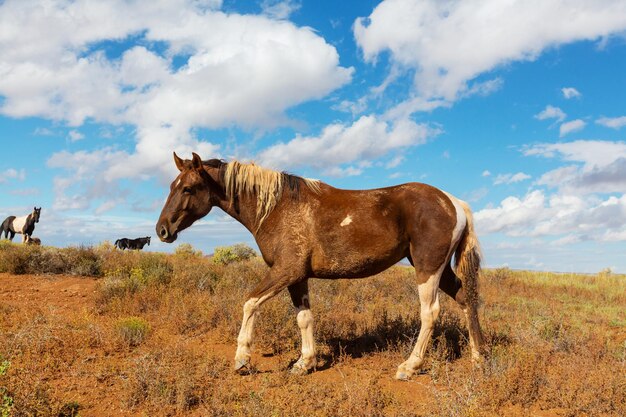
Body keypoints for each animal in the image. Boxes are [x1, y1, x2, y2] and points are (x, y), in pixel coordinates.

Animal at [155, 154, 482, 380]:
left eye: (189, 188)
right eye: (172, 186)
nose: (162, 230)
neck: (276, 208)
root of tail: (454, 202)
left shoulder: (285, 271)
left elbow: (249, 303)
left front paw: (242, 359)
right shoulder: (297, 278)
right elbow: (304, 318)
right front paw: (304, 363)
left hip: (427, 268)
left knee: (430, 313)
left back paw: (409, 366)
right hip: (439, 269)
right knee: (466, 299)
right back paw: (478, 357)